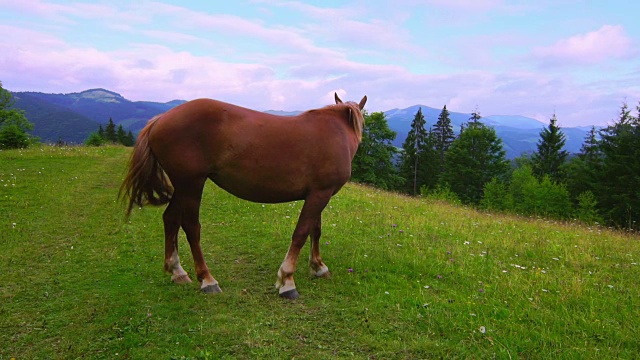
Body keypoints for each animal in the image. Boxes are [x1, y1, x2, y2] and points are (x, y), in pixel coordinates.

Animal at [120, 93, 368, 298]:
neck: (337, 131)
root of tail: (160, 119)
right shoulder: (319, 195)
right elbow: (300, 233)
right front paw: (287, 280)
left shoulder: (318, 194)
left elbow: (315, 231)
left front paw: (318, 267)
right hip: (191, 185)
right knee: (190, 226)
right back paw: (207, 280)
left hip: (183, 187)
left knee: (170, 219)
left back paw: (177, 271)